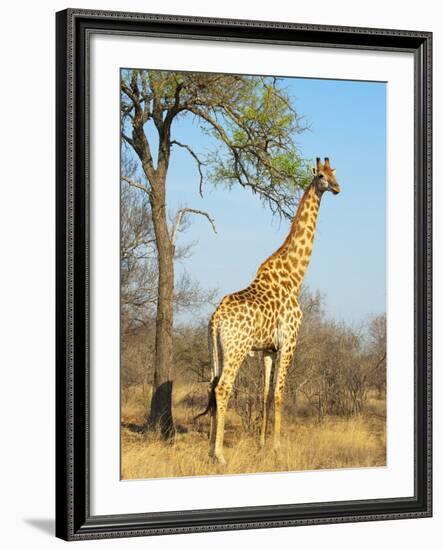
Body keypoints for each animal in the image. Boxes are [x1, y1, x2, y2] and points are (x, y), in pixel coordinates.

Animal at [201, 158, 340, 466]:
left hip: (218, 349)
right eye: (321, 176)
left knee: (212, 385)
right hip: (236, 349)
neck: (294, 277)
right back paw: (219, 455)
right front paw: (277, 447)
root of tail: (215, 319)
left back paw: (209, 450)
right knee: (223, 387)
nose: (337, 188)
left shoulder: (268, 350)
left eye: (335, 173)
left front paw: (262, 445)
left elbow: (264, 394)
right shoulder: (289, 342)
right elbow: (279, 393)